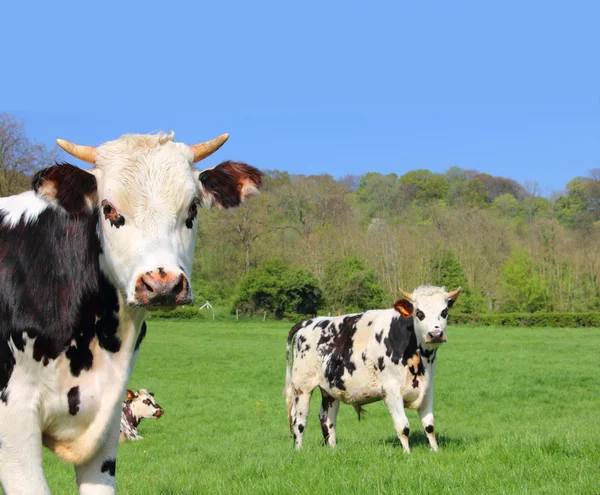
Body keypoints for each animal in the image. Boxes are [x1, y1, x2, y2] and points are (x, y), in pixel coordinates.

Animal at [284, 286, 460, 454]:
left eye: (444, 312)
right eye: (419, 313)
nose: (435, 334)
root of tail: (309, 322)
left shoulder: (427, 388)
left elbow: (429, 425)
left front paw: (435, 451)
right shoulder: (391, 391)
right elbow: (403, 426)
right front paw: (408, 454)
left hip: (330, 389)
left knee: (327, 419)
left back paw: (332, 449)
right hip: (302, 387)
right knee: (298, 420)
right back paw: (299, 450)